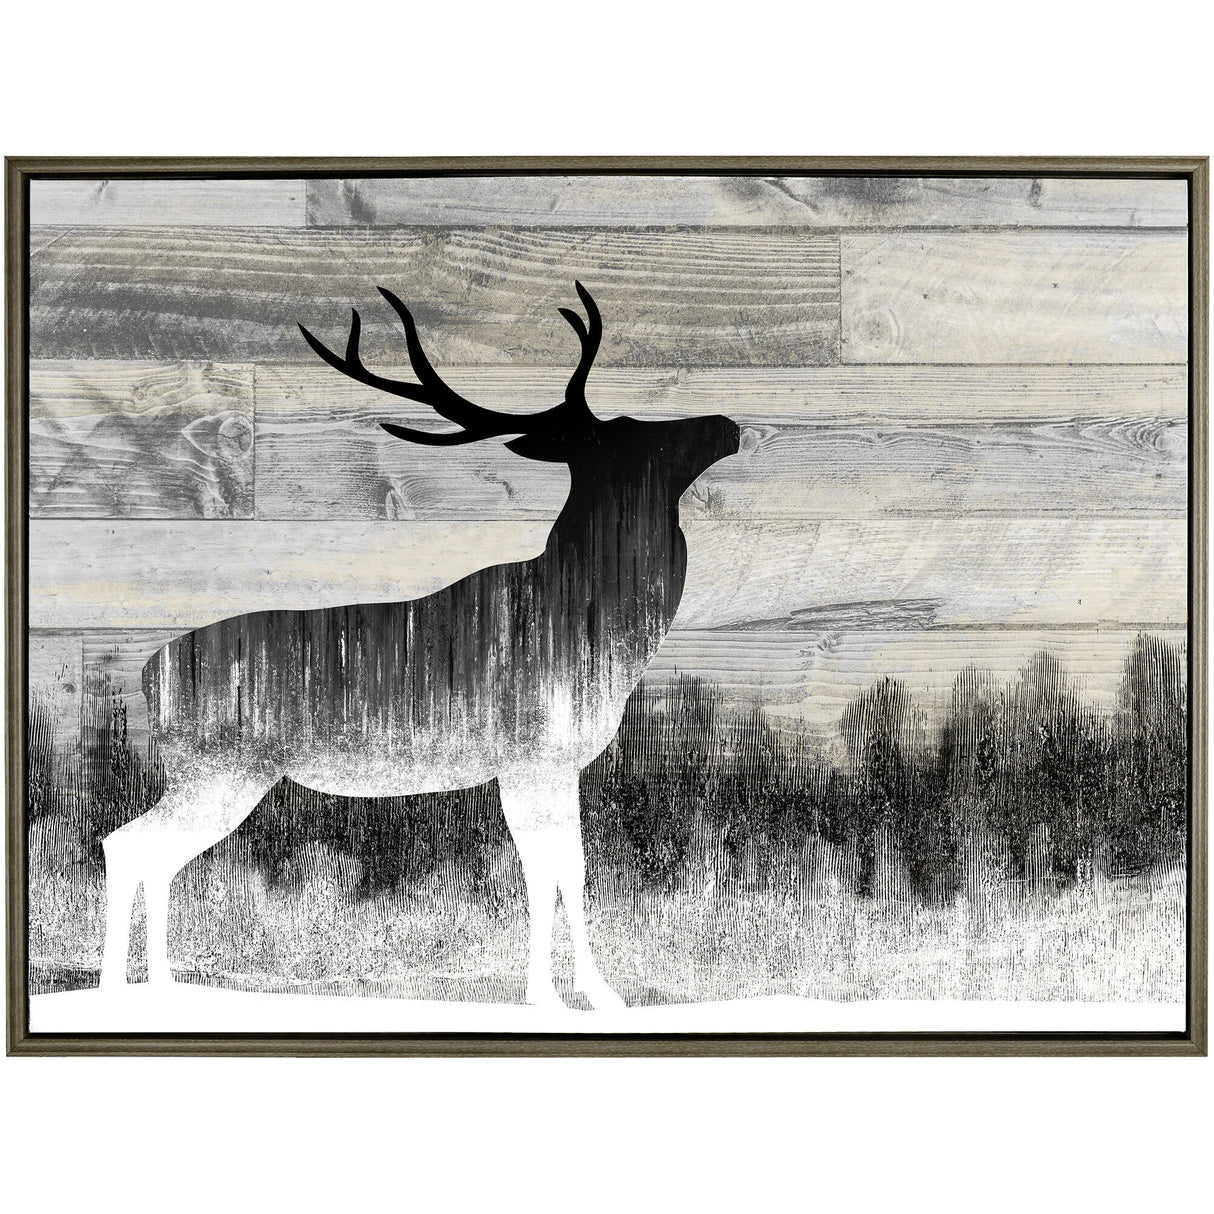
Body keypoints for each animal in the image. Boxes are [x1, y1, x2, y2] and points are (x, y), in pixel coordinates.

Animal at [97, 282, 740, 1011]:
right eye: (636, 430)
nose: (726, 423)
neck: (597, 631)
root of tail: (147, 674)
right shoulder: (531, 756)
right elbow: (553, 871)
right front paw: (565, 996)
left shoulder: (557, 765)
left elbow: (563, 870)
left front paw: (578, 993)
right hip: (220, 765)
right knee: (126, 844)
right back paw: (116, 991)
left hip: (213, 771)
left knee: (149, 852)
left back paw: (163, 987)